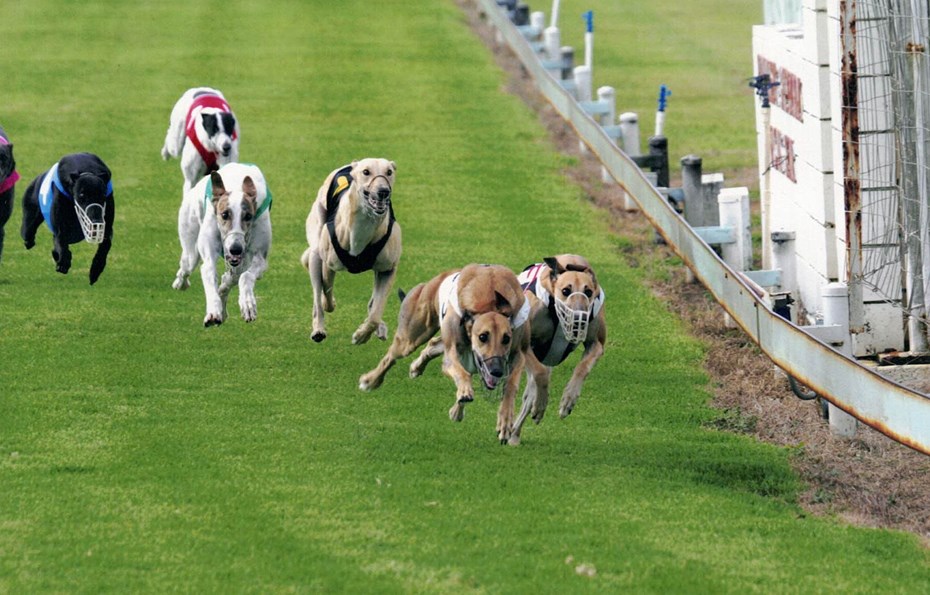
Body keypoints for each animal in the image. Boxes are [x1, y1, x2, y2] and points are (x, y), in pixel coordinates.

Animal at [20, 152, 115, 286]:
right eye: (81, 195)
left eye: (102, 195)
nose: (96, 222)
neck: (87, 171)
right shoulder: (60, 226)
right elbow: (61, 239)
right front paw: (64, 262)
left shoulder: (107, 226)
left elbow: (105, 244)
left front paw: (95, 270)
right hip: (28, 224)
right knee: (29, 236)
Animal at [172, 162, 272, 326]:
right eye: (224, 214)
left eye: (248, 216)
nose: (235, 249)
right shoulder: (210, 255)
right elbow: (210, 272)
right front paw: (213, 312)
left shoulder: (259, 259)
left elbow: (245, 276)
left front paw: (247, 304)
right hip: (191, 245)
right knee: (186, 266)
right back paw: (180, 283)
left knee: (236, 275)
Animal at [300, 158, 396, 344]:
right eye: (366, 172)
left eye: (389, 172)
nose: (383, 191)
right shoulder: (328, 265)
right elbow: (326, 293)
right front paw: (327, 304)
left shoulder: (388, 269)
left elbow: (376, 311)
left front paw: (362, 335)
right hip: (316, 248)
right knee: (318, 294)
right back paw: (318, 328)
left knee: (374, 302)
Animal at [358, 264, 548, 444]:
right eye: (483, 336)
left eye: (506, 338)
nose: (497, 371)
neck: (490, 299)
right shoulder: (453, 353)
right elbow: (461, 374)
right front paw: (464, 393)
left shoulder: (518, 353)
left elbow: (514, 386)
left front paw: (506, 422)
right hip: (412, 337)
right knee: (392, 355)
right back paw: (370, 379)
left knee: (433, 345)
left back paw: (418, 370)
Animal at [512, 251, 604, 442]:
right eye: (565, 291)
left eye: (589, 291)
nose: (579, 319)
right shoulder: (525, 345)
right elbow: (540, 374)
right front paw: (541, 405)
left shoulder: (596, 344)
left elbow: (582, 368)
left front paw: (568, 400)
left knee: (528, 396)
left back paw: (514, 433)